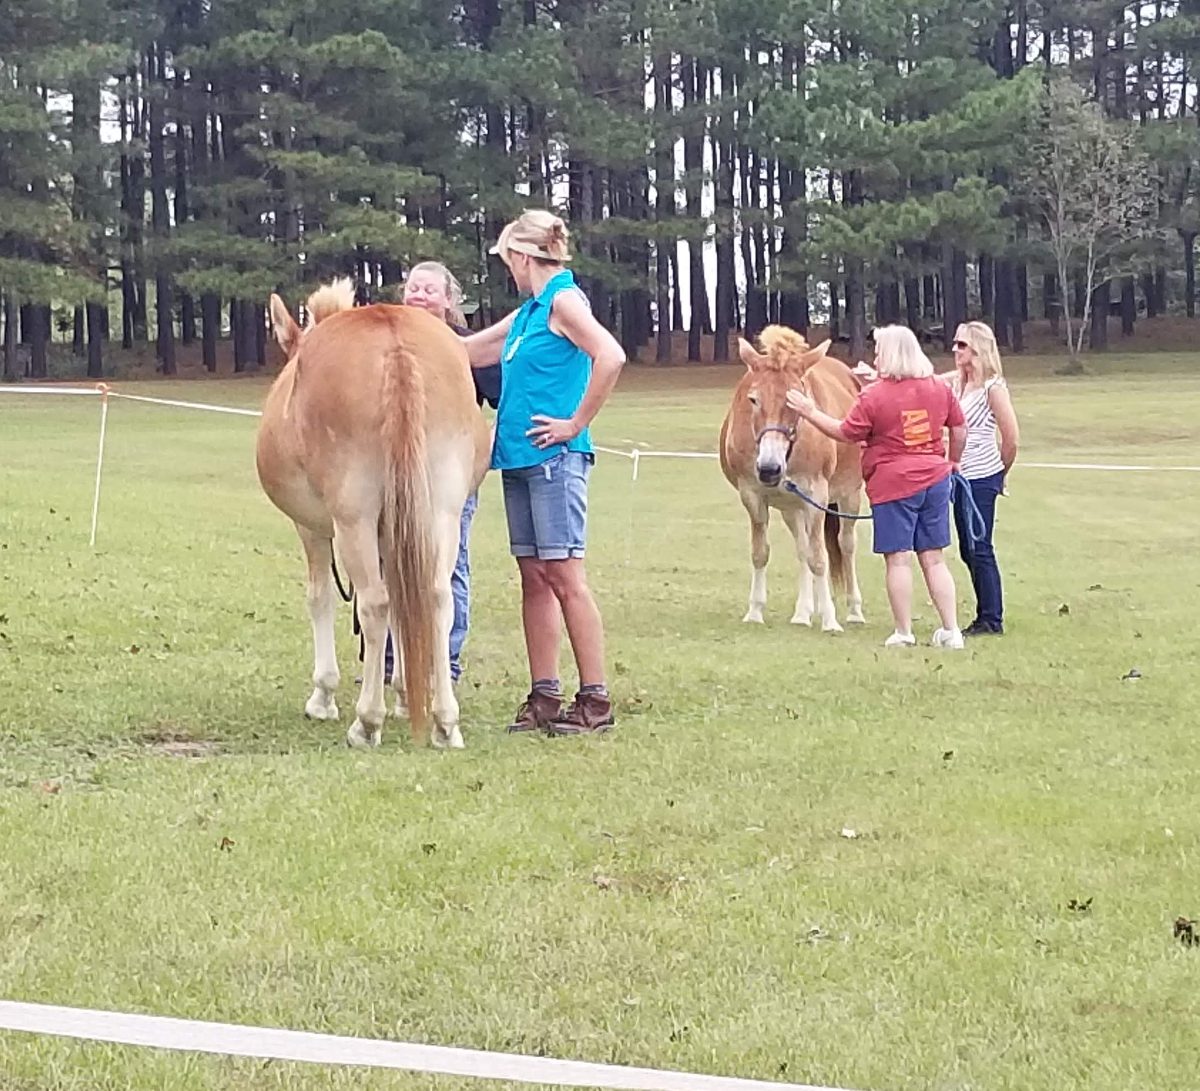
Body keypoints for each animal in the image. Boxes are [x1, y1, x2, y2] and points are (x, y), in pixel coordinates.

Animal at [256, 279, 490, 750]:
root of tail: (393, 340)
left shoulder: (311, 529)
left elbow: (320, 597)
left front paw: (323, 696)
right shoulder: (394, 532)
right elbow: (406, 602)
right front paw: (404, 694)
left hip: (353, 521)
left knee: (375, 604)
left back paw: (366, 722)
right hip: (440, 514)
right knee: (437, 599)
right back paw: (444, 722)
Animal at [719, 326, 866, 631]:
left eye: (796, 400)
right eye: (753, 399)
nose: (769, 468)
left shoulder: (817, 495)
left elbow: (820, 558)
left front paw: (830, 619)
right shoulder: (752, 495)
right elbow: (761, 552)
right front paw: (755, 611)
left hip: (849, 495)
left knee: (846, 545)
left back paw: (854, 609)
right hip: (791, 507)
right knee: (802, 550)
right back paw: (802, 612)